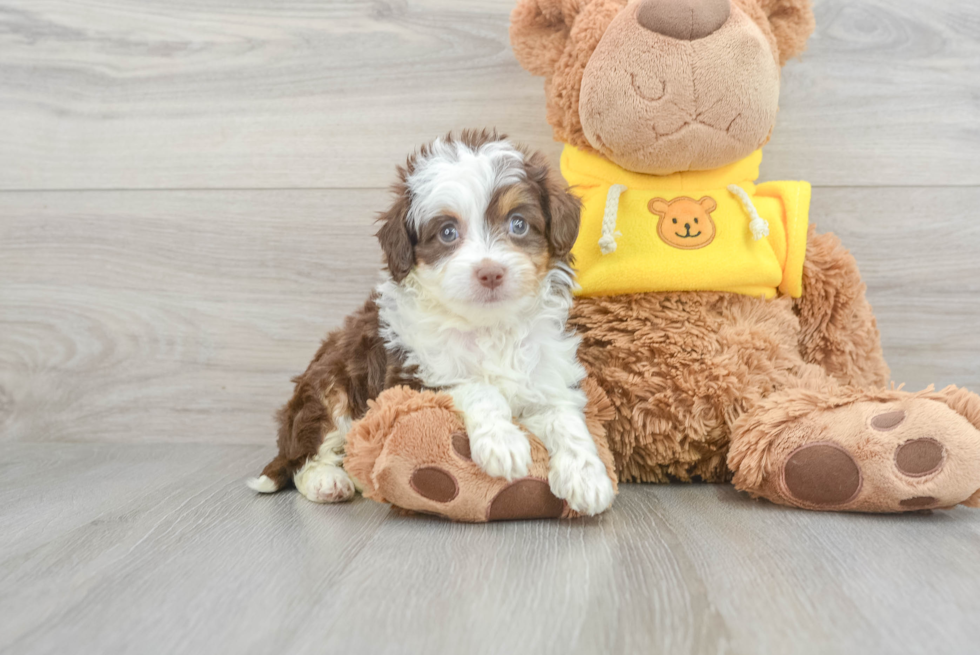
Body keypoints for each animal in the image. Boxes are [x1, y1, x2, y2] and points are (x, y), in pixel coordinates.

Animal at [245, 129, 612, 516]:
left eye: (519, 223)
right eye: (448, 232)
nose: (490, 272)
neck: (488, 326)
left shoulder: (544, 374)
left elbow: (563, 415)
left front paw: (587, 476)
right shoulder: (413, 376)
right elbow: (475, 386)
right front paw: (503, 442)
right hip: (328, 385)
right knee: (305, 454)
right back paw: (328, 481)